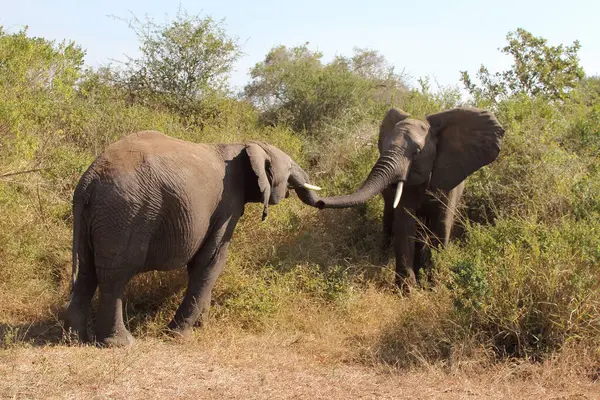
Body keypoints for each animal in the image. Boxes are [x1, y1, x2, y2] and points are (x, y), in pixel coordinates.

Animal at [65, 131, 324, 346]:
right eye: (290, 168)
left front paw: (201, 326)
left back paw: (74, 339)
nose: (321, 202)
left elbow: (200, 265)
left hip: (96, 217)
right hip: (125, 214)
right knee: (115, 277)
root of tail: (89, 181)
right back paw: (120, 344)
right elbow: (211, 259)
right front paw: (178, 336)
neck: (243, 144)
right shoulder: (228, 203)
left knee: (87, 271)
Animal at [316, 108, 504, 290]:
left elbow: (442, 224)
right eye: (383, 146)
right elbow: (405, 222)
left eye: (417, 152)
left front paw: (433, 286)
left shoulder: (449, 178)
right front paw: (406, 290)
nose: (319, 201)